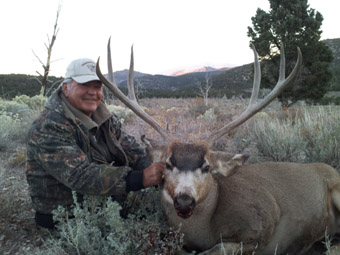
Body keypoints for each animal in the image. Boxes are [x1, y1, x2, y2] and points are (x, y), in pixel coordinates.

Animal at [94, 39, 340, 255]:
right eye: (168, 163)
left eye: (206, 167)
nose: (184, 200)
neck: (207, 227)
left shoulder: (264, 226)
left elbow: (216, 249)